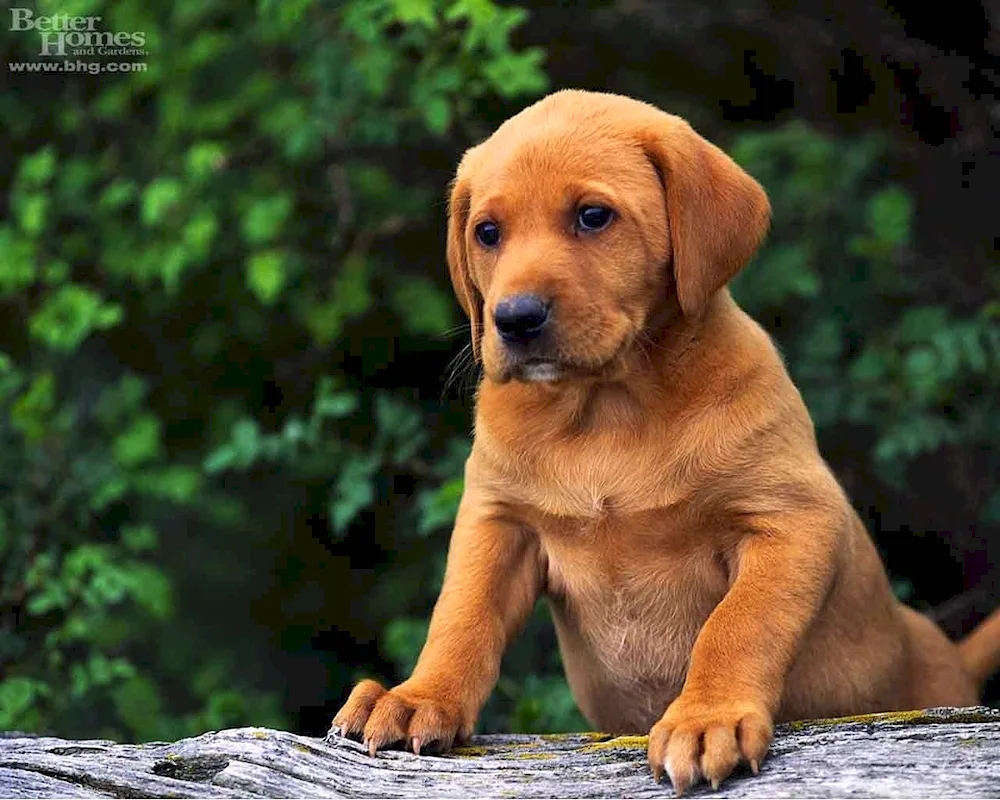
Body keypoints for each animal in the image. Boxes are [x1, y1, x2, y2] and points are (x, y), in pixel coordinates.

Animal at [334, 89, 1000, 792]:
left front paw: (707, 717)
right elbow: (461, 615)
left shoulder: (791, 519)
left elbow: (737, 623)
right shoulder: (498, 523)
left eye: (593, 217)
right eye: (487, 233)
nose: (514, 318)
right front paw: (417, 696)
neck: (606, 412)